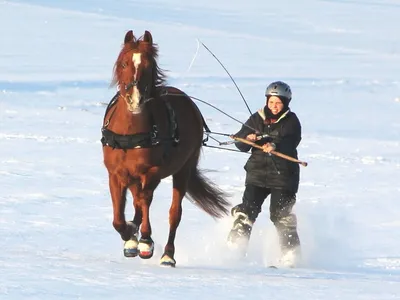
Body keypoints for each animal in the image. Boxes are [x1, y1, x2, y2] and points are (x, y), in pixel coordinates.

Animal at [101, 29, 230, 268]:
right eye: (124, 63)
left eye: (149, 65)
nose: (135, 99)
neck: (130, 134)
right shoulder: (116, 174)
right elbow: (118, 219)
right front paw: (130, 236)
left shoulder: (153, 172)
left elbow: (145, 201)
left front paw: (145, 241)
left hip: (183, 170)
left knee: (173, 213)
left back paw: (168, 254)